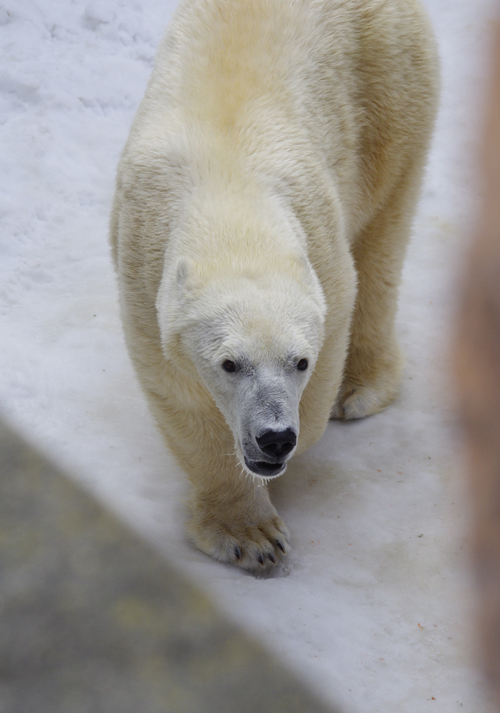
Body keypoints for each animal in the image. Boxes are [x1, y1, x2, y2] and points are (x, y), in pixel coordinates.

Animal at [111, 0, 440, 572]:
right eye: (229, 363)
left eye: (299, 361)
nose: (274, 439)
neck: (229, 196)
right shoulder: (144, 265)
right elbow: (182, 396)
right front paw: (251, 535)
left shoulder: (324, 256)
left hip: (390, 87)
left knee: (385, 228)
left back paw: (360, 387)